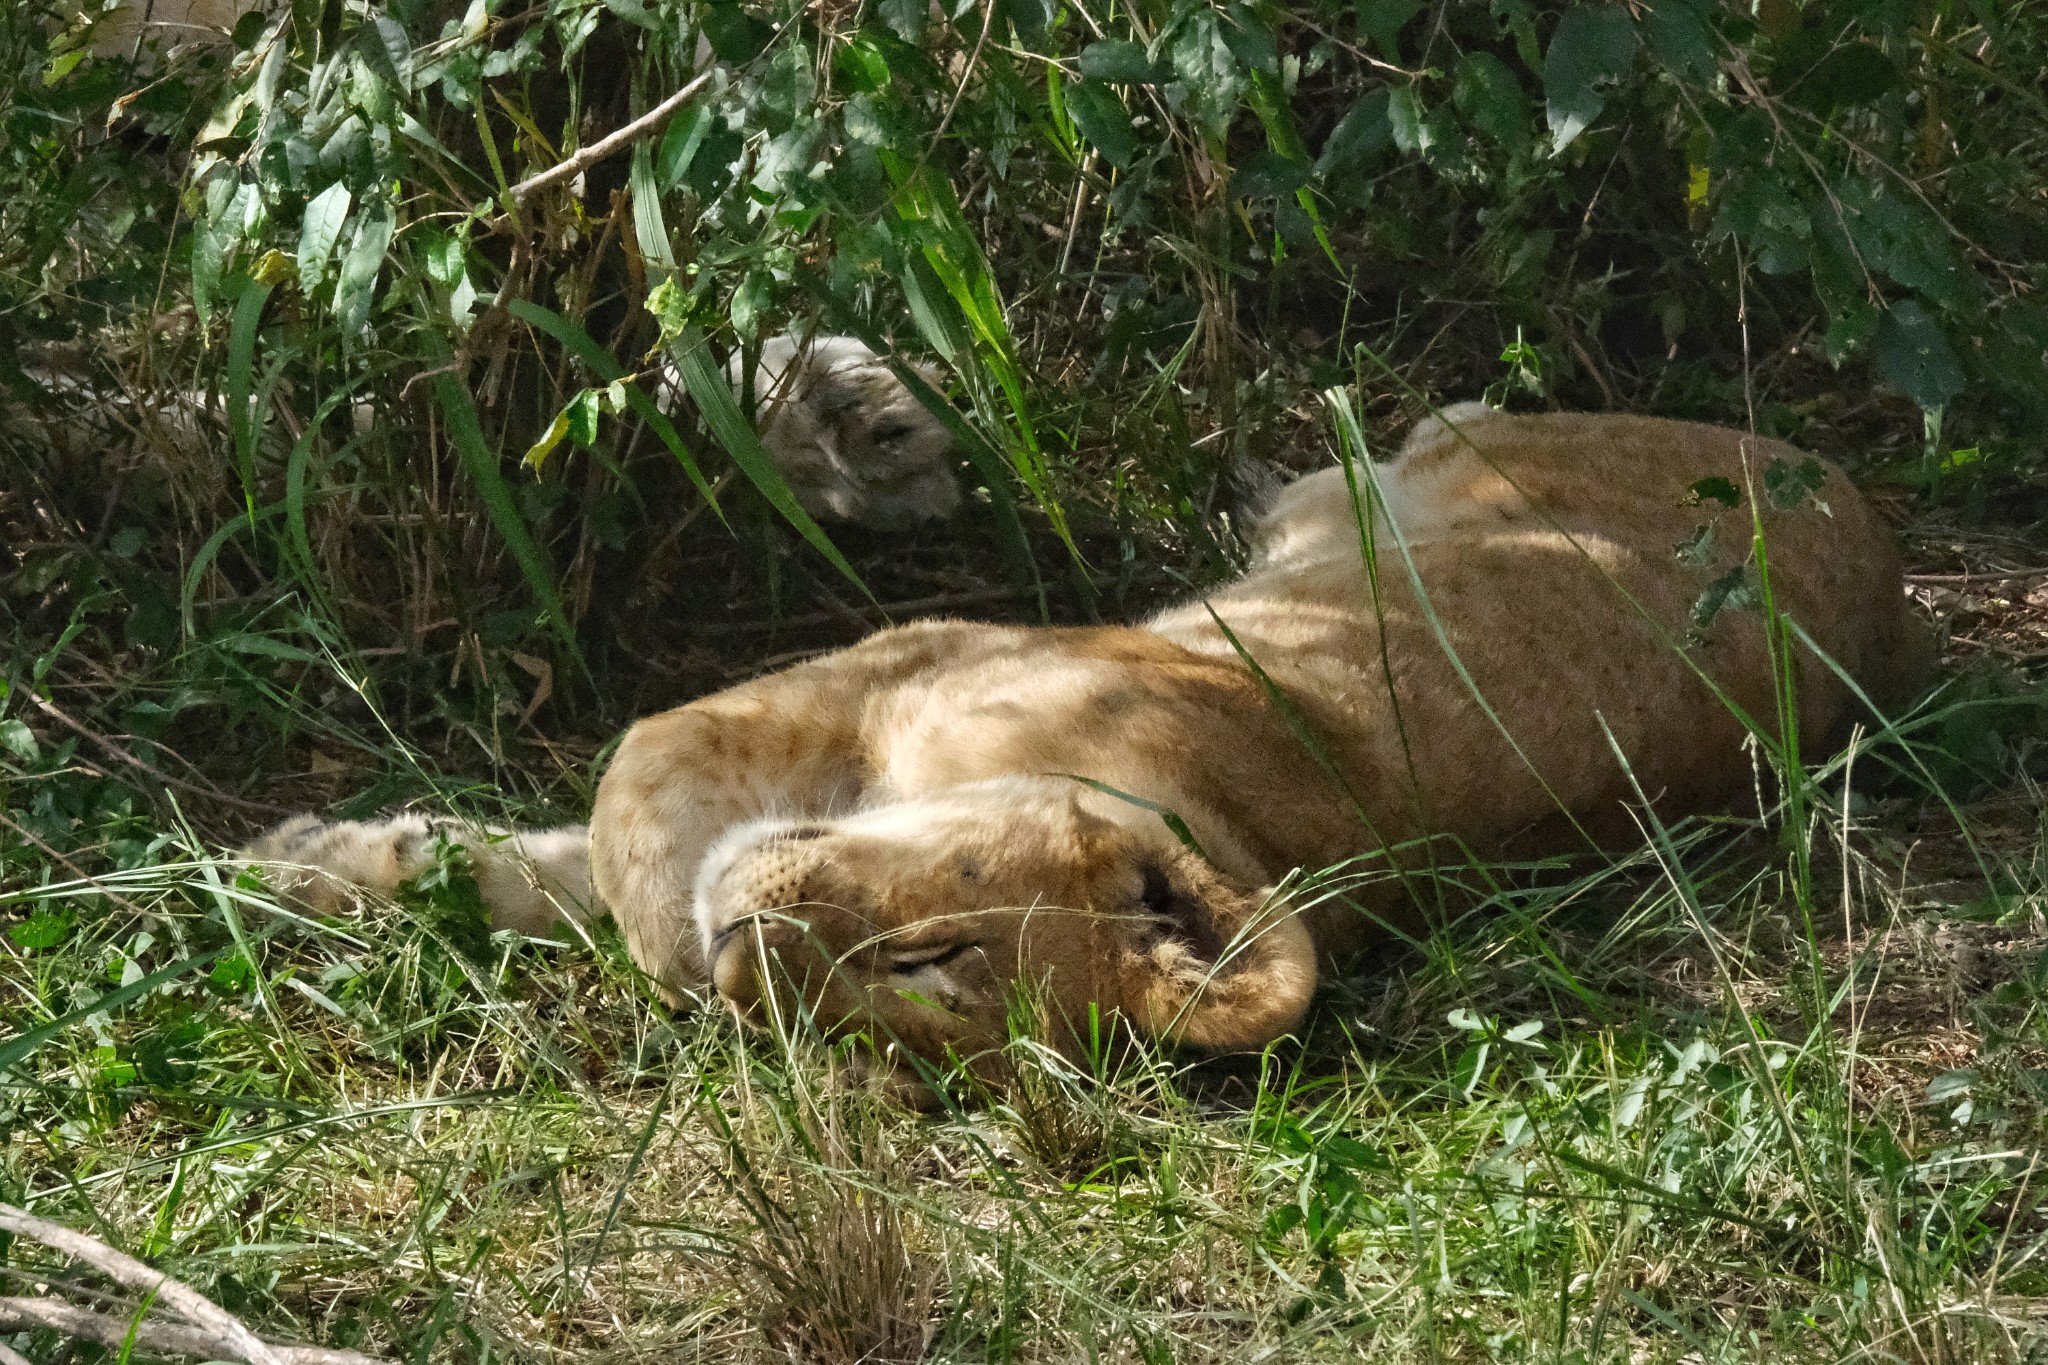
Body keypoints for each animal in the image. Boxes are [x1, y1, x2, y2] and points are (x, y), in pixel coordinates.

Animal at [247, 403, 1925, 1080]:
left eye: (912, 993)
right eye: (935, 947)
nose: (746, 949)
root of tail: (1861, 503)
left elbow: (623, 848)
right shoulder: (899, 664)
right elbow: (615, 818)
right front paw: (319, 863)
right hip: (1443, 459)